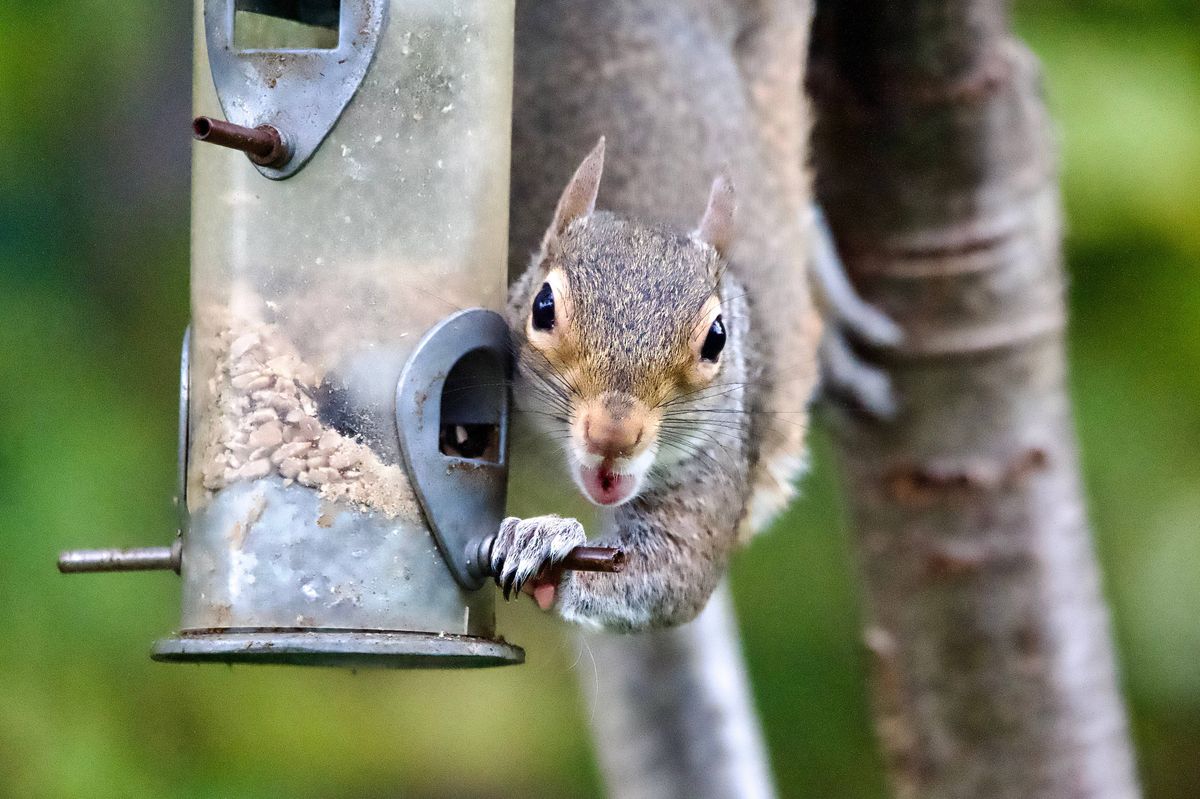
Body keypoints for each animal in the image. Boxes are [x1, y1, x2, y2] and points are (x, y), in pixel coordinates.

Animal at [492, 0, 897, 632]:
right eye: (543, 307)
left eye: (716, 339)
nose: (613, 434)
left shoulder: (717, 455)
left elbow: (673, 573)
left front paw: (546, 544)